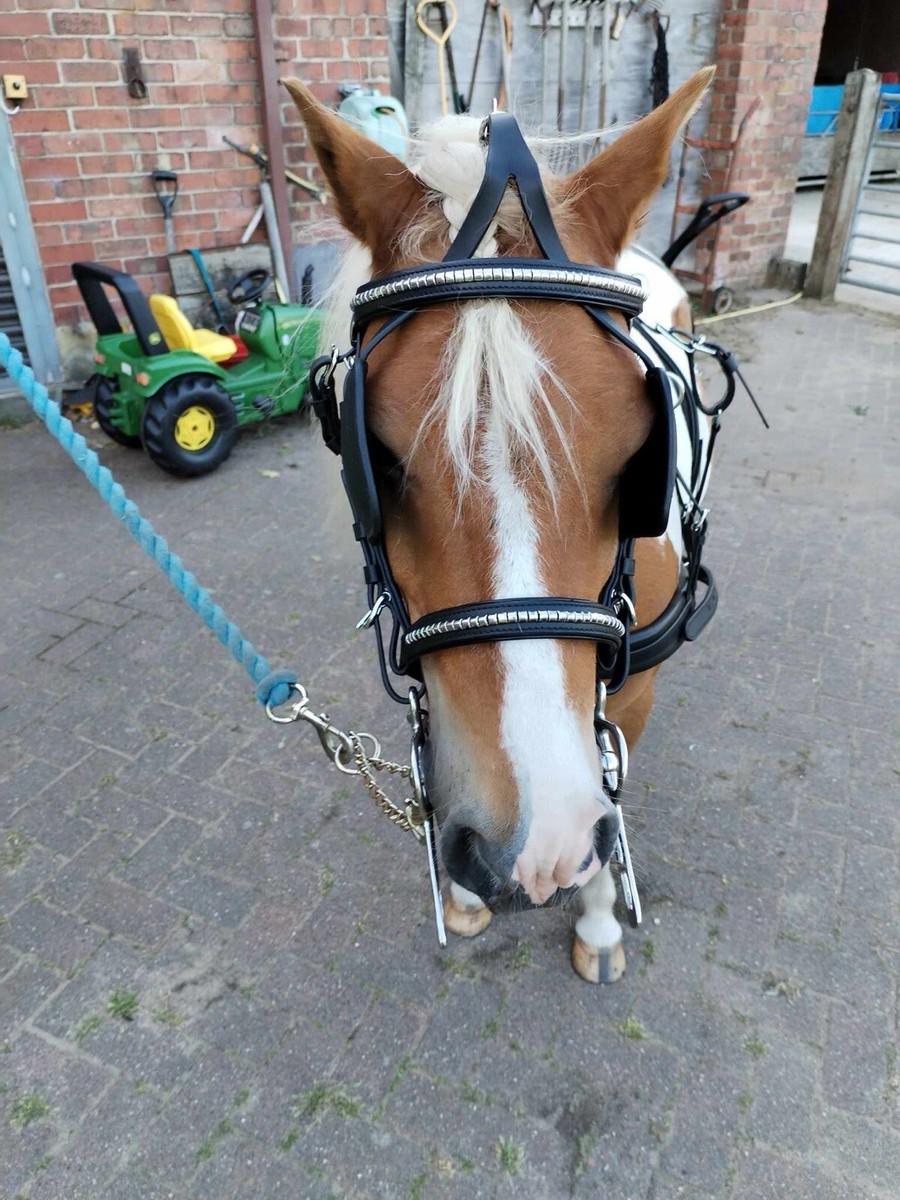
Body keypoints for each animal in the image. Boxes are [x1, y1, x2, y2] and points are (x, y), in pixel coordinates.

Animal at [285, 68, 715, 983]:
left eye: (637, 457)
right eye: (375, 454)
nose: (536, 851)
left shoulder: (630, 692)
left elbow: (610, 780)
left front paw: (598, 920)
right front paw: (466, 891)